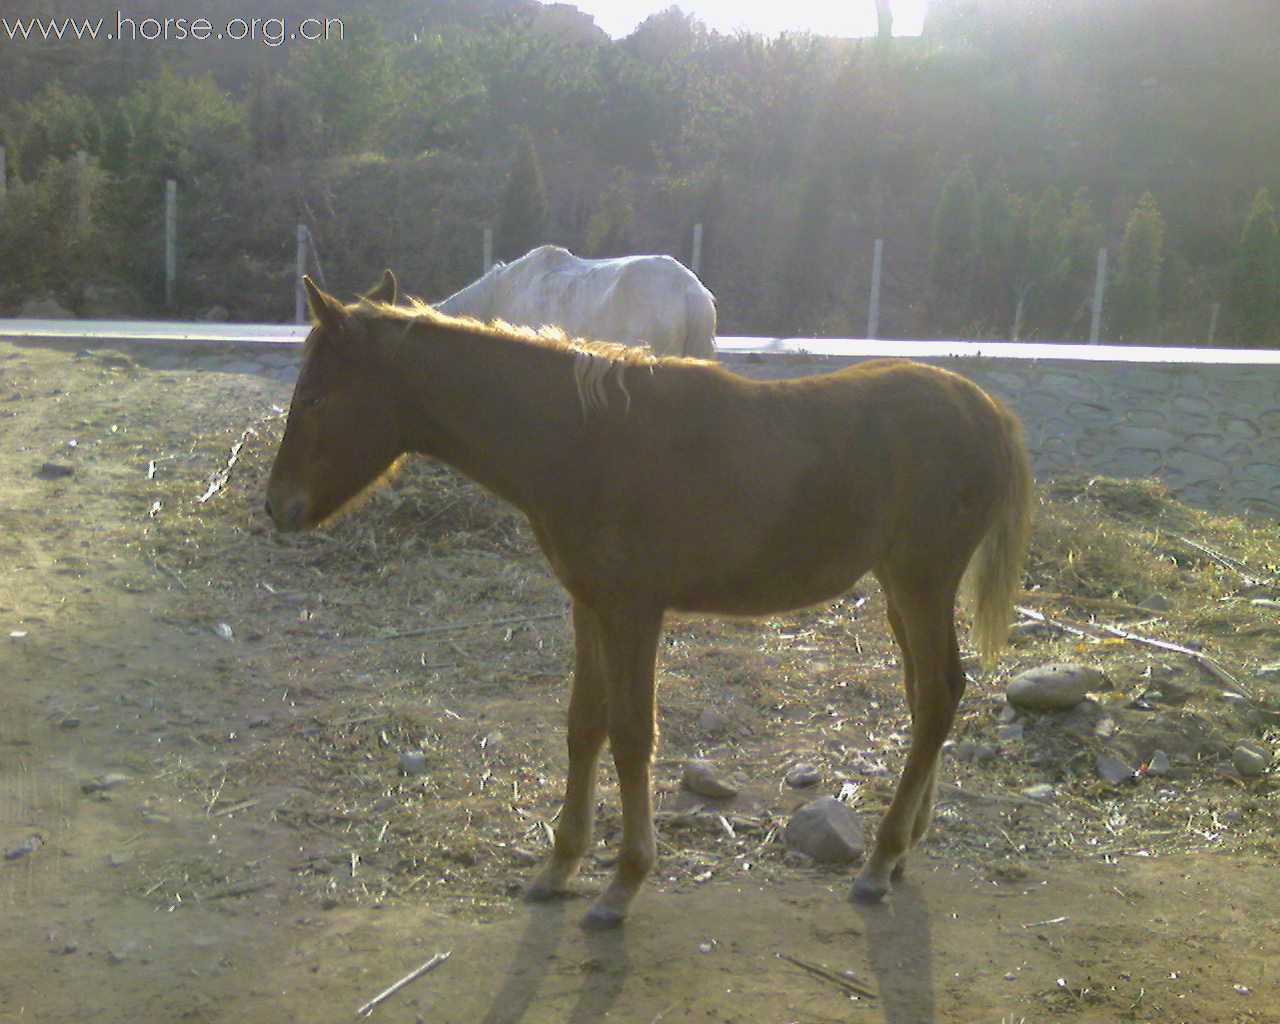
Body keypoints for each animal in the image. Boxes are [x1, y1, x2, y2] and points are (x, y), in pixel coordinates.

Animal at [267, 271, 1029, 926]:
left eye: (314, 398)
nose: (276, 506)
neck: (583, 439)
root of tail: (991, 410)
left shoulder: (633, 609)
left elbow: (633, 735)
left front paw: (623, 883)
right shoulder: (589, 604)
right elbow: (584, 726)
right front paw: (559, 868)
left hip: (922, 581)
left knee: (937, 694)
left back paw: (879, 861)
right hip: (902, 588)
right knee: (932, 695)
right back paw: (901, 851)